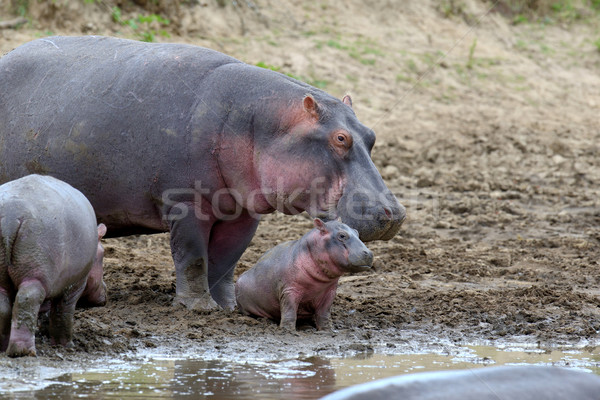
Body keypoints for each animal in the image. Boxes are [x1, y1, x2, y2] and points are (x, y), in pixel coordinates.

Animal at [0, 35, 406, 310]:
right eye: (340, 138)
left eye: (371, 134)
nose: (395, 213)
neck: (262, 123)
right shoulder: (186, 203)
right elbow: (194, 256)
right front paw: (197, 308)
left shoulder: (244, 211)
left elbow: (226, 261)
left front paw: (228, 307)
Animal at [0, 174, 106, 356]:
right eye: (103, 254)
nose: (106, 291)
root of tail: (10, 218)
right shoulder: (75, 283)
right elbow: (63, 312)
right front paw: (67, 345)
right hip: (36, 274)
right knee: (26, 300)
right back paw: (23, 351)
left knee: (3, 306)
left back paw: (2, 347)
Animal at [236, 219, 372, 332]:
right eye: (342, 235)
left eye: (357, 232)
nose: (369, 253)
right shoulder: (289, 290)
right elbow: (289, 311)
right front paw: (287, 331)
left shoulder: (330, 292)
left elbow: (324, 313)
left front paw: (327, 330)